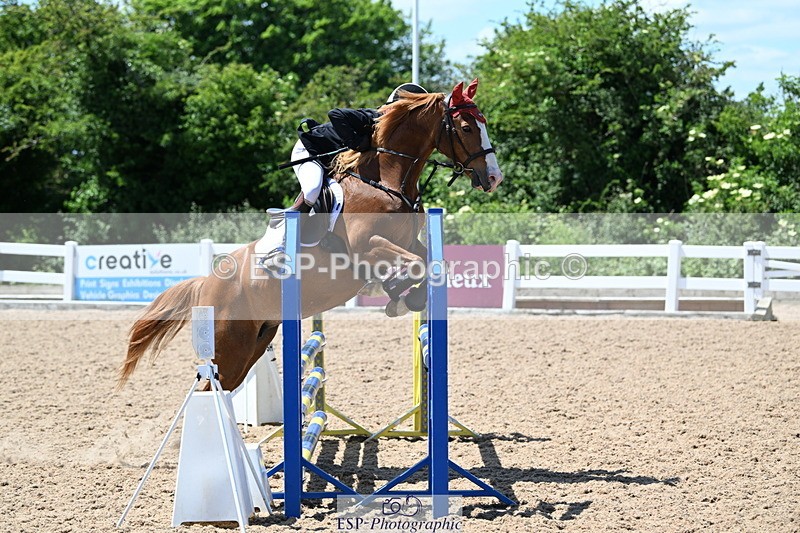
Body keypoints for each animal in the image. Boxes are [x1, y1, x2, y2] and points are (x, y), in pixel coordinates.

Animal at [117, 79, 503, 392]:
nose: (494, 177)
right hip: (230, 346)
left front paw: (404, 297)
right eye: (466, 127)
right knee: (208, 389)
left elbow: (430, 264)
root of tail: (206, 283)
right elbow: (414, 266)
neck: (388, 181)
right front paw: (397, 295)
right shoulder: (367, 248)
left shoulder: (407, 243)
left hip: (255, 341)